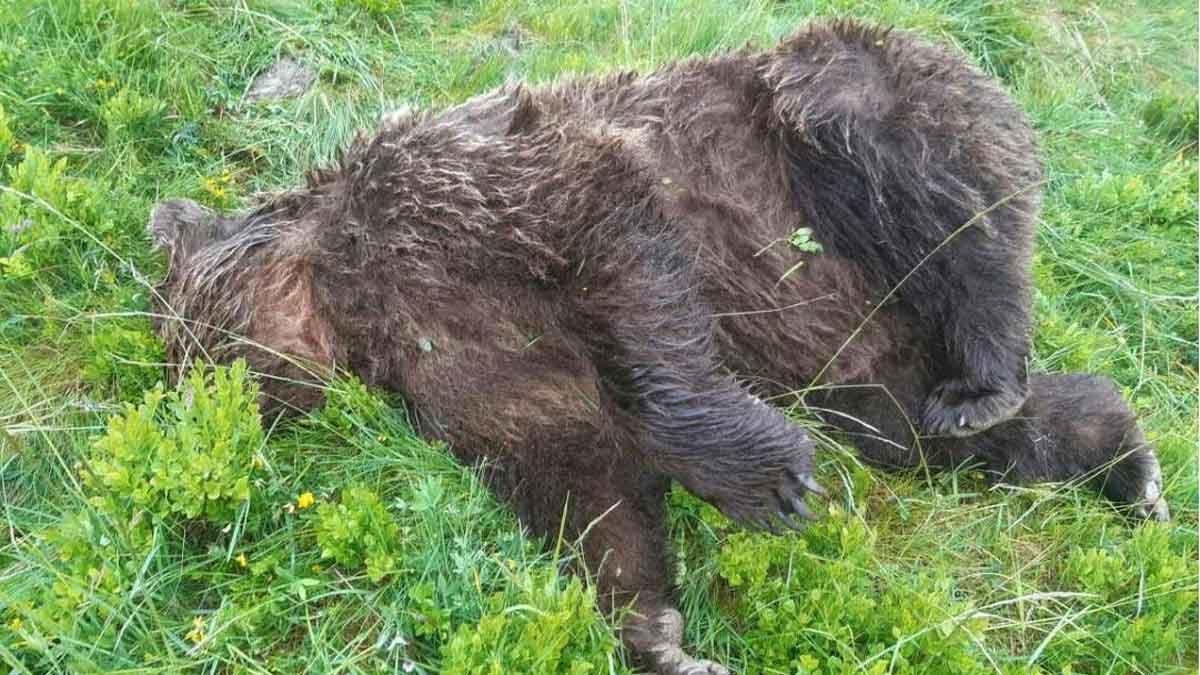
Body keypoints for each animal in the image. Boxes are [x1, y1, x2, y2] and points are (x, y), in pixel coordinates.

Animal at [145, 19, 1166, 672]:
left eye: (190, 341)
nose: (199, 404)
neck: (356, 298)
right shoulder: (465, 368)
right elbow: (580, 480)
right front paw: (660, 636)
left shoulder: (475, 190)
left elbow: (621, 261)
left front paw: (772, 481)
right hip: (865, 360)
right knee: (918, 433)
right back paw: (1117, 458)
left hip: (836, 129)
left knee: (920, 180)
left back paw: (989, 370)